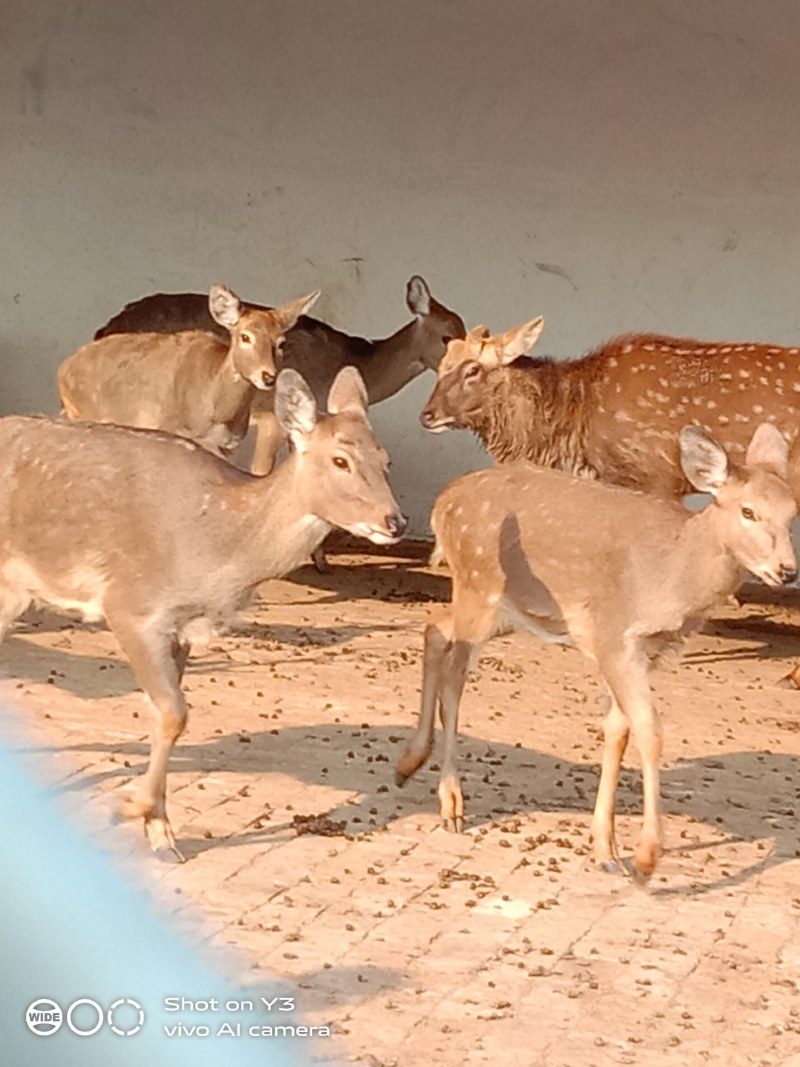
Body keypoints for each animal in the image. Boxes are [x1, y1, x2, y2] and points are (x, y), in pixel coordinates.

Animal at [0, 367, 405, 861]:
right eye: (341, 460)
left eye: (385, 460)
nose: (395, 522)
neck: (215, 549)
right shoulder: (130, 605)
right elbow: (175, 711)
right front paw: (132, 808)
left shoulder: (183, 630)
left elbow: (164, 716)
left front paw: (160, 833)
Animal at [59, 283, 320, 459]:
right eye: (245, 336)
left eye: (281, 342)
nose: (268, 376)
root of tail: (63, 368)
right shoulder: (168, 431)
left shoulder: (227, 445)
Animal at [395, 423, 797, 879]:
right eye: (748, 512)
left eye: (792, 514)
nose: (787, 571)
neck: (672, 578)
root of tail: (442, 503)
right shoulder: (614, 638)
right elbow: (649, 731)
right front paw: (645, 856)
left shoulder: (646, 652)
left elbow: (618, 731)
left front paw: (606, 848)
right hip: (480, 586)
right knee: (455, 677)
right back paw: (451, 803)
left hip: (504, 610)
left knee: (434, 626)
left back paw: (408, 763)